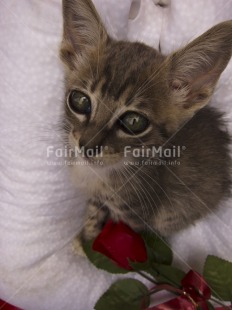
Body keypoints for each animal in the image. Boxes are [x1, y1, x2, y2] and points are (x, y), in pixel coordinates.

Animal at [60, 0, 232, 241]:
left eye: (133, 122)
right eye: (80, 100)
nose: (86, 146)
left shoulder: (136, 216)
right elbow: (94, 208)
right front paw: (87, 235)